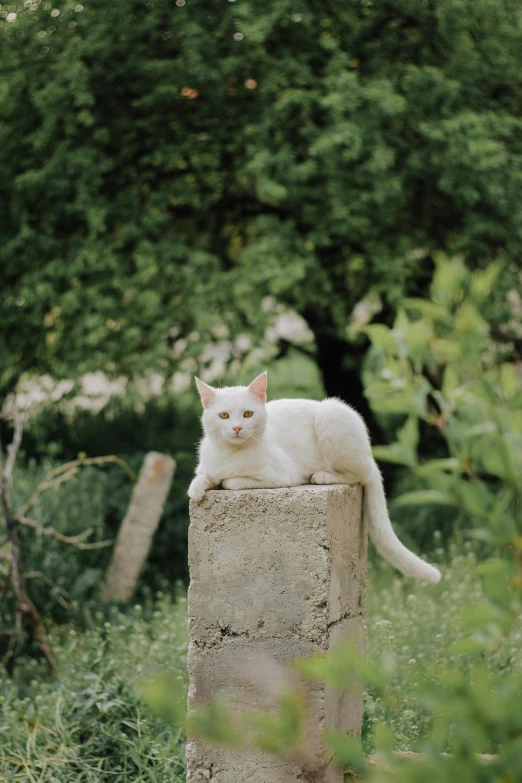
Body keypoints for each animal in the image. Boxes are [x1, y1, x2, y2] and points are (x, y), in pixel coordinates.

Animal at [187, 370, 438, 584]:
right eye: (224, 415)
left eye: (248, 414)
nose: (237, 428)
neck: (230, 452)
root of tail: (369, 453)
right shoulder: (207, 466)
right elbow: (204, 476)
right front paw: (197, 489)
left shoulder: (282, 475)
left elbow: (232, 480)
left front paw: (222, 481)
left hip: (332, 417)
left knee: (358, 475)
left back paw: (324, 476)